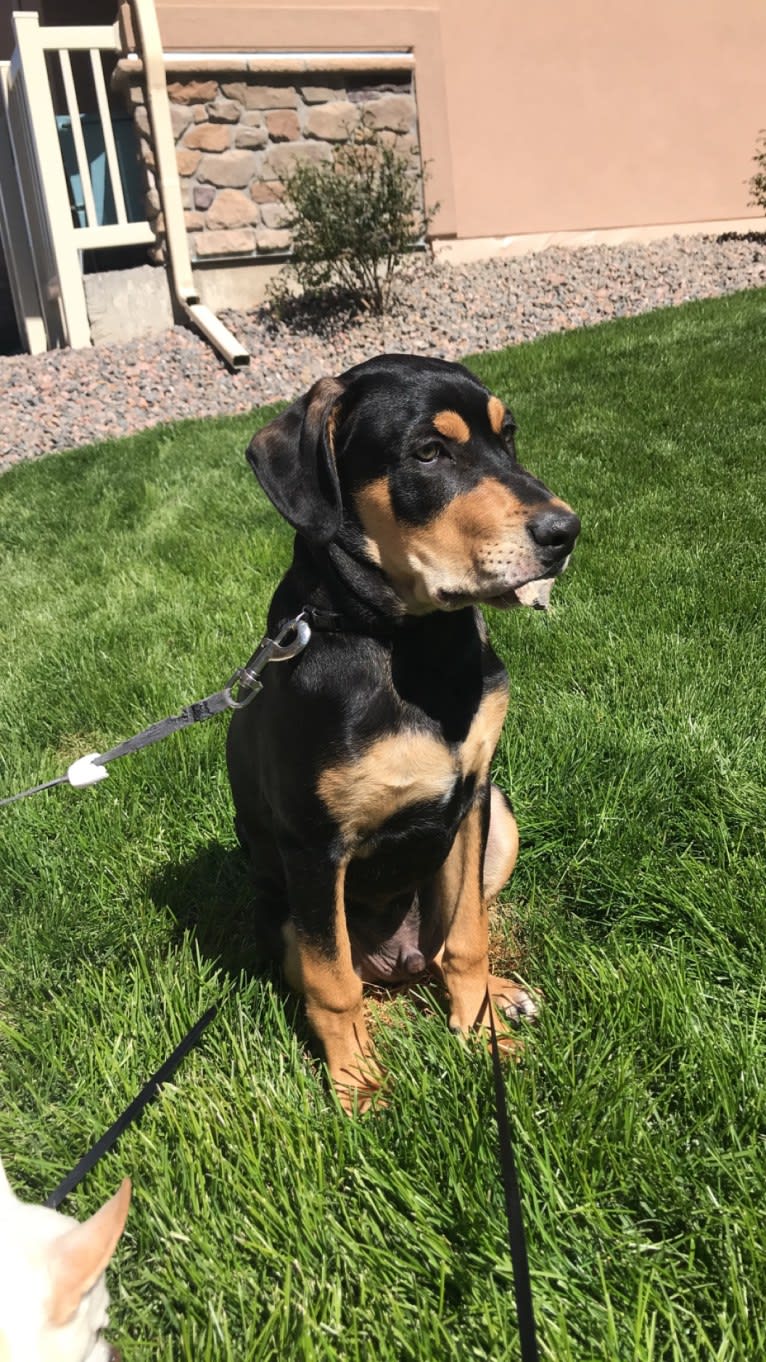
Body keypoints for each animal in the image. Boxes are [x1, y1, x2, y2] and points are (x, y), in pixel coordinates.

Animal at [227, 351, 577, 1105]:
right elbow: (333, 985)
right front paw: (358, 1088)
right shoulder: (314, 848)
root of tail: (400, 961)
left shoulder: (470, 797)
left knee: (441, 950)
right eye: (428, 452)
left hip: (501, 821)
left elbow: (468, 936)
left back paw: (498, 995)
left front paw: (479, 1033)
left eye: (508, 437)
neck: (410, 644)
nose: (566, 533)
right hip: (284, 915)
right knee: (356, 980)